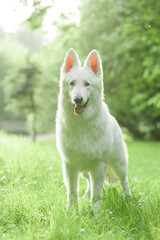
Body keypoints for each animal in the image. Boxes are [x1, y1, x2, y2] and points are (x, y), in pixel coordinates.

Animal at [56, 48, 131, 212]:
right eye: (72, 83)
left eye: (87, 84)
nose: (78, 99)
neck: (81, 123)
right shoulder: (70, 165)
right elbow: (72, 191)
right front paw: (72, 210)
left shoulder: (98, 165)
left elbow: (97, 193)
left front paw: (95, 212)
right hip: (85, 171)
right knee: (89, 183)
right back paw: (84, 197)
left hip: (119, 164)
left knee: (124, 180)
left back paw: (129, 200)